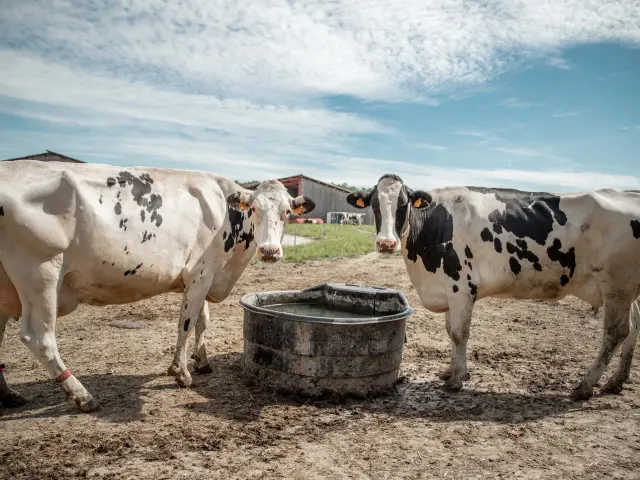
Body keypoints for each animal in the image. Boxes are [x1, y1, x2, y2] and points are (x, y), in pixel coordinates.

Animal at [0, 160, 315, 412]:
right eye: (255, 209)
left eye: (287, 212)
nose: (270, 251)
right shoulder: (200, 273)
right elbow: (187, 322)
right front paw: (181, 372)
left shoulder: (205, 276)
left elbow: (202, 321)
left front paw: (202, 362)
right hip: (41, 273)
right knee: (39, 337)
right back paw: (82, 395)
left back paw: (9, 394)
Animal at [347, 174, 640, 400]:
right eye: (374, 204)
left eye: (404, 204)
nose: (386, 243)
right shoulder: (447, 289)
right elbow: (449, 331)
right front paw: (451, 371)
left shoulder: (461, 288)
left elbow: (459, 334)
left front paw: (456, 380)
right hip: (627, 290)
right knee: (633, 327)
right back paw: (616, 381)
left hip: (617, 285)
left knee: (615, 333)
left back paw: (585, 386)